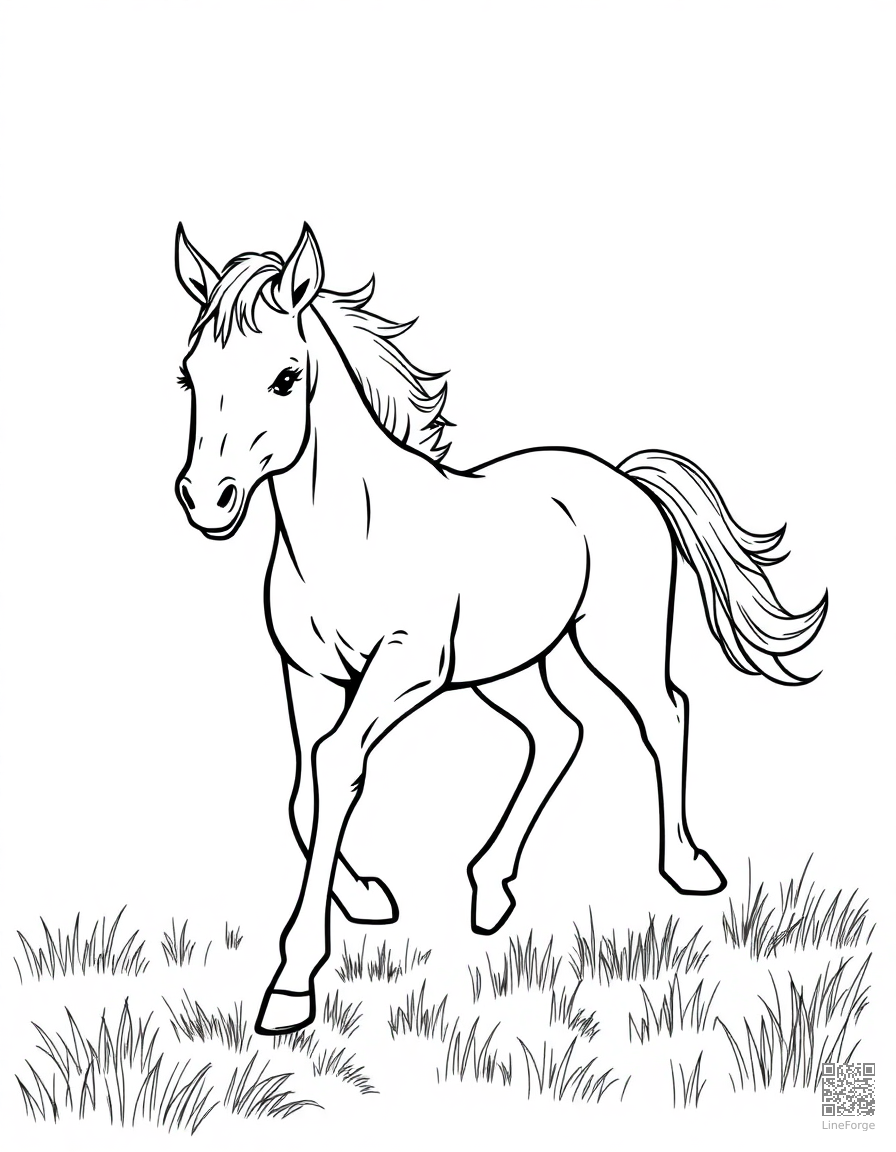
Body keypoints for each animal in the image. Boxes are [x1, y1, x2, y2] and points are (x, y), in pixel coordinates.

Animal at [172, 223, 827, 1035]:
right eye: (188, 376)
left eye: (286, 378)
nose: (207, 499)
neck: (348, 532)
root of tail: (622, 476)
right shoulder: (310, 675)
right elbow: (304, 790)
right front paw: (365, 899)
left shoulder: (406, 669)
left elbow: (335, 766)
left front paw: (293, 984)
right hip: (506, 668)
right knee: (559, 733)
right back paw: (488, 891)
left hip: (618, 645)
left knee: (665, 715)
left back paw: (687, 868)